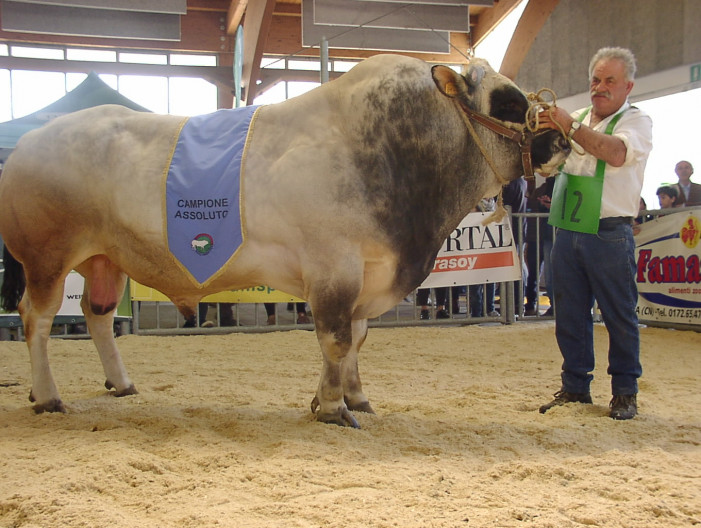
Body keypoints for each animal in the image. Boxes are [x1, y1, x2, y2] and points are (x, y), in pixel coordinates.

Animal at [0, 53, 568, 426]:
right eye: (508, 101)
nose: (562, 139)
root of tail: (30, 141)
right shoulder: (335, 266)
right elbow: (335, 338)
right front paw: (333, 408)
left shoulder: (367, 271)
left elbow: (355, 339)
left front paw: (353, 398)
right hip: (47, 257)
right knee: (36, 319)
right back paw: (47, 397)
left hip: (104, 257)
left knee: (96, 315)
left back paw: (120, 383)